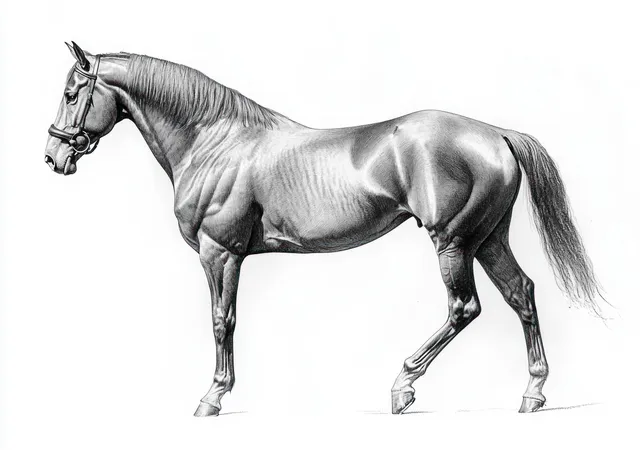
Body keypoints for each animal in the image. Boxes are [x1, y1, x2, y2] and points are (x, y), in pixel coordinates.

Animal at [45, 42, 602, 417]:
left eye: (72, 94)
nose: (53, 157)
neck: (215, 142)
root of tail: (497, 134)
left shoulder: (219, 252)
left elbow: (221, 321)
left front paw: (212, 397)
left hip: (454, 242)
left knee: (465, 308)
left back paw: (403, 386)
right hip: (488, 239)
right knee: (521, 294)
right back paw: (532, 393)